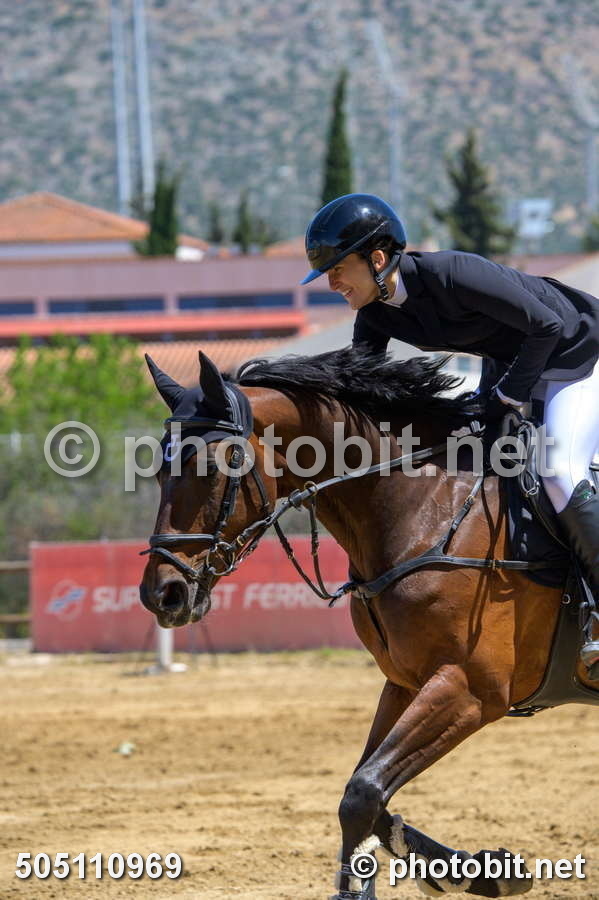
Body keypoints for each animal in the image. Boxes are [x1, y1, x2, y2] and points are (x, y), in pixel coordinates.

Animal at [139, 346, 598, 899]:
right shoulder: (407, 683)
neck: (425, 506)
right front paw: (481, 871)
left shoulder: (470, 689)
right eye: (159, 473)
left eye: (211, 465)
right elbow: (368, 795)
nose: (162, 594)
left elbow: (362, 793)